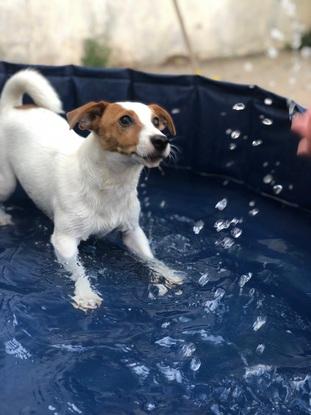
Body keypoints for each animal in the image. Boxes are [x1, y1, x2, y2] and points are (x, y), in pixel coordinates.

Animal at [0, 69, 183, 308]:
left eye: (156, 122)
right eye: (125, 120)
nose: (161, 140)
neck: (110, 183)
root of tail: (13, 108)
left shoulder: (132, 231)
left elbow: (150, 258)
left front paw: (168, 273)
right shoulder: (64, 241)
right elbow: (78, 270)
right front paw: (85, 294)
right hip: (7, 182)